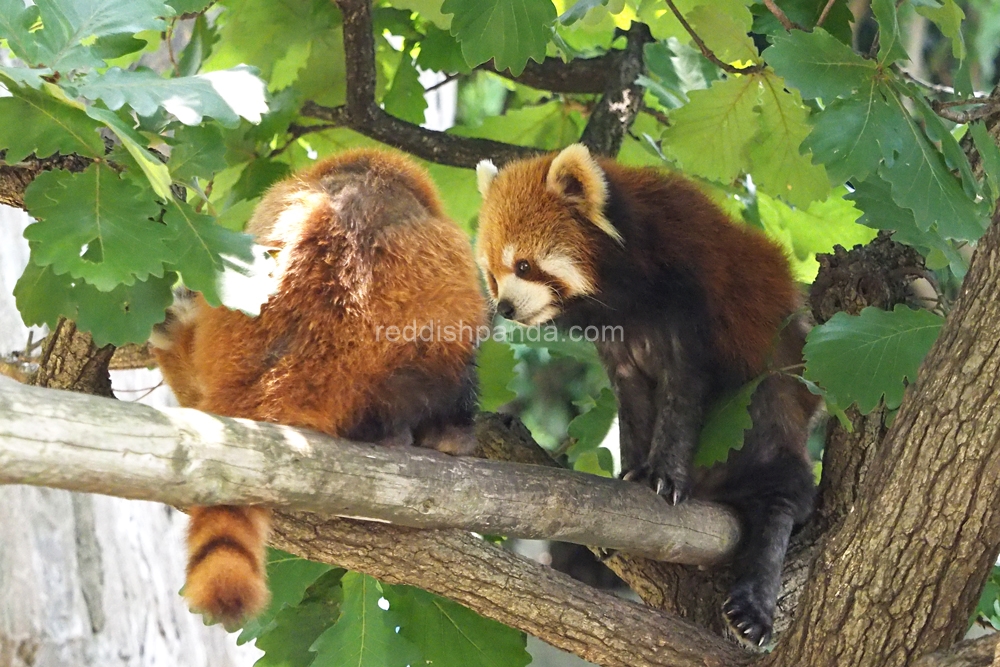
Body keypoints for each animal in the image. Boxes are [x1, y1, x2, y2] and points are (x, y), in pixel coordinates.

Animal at [476, 144, 820, 648]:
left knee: (780, 480)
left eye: (523, 265)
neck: (626, 296)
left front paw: (664, 476)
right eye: (494, 275)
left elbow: (683, 390)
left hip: (774, 397)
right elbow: (634, 403)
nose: (504, 307)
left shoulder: (691, 295)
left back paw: (755, 600)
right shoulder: (618, 342)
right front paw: (634, 474)